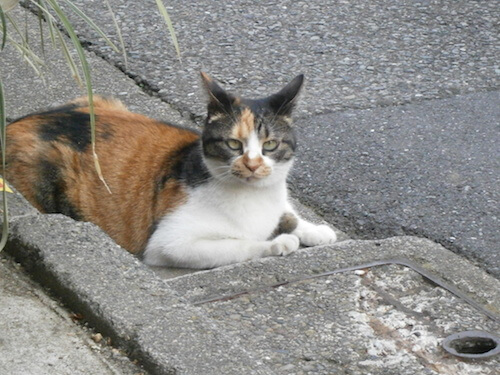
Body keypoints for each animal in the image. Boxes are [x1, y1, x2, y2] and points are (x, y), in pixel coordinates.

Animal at [4, 72, 336, 268]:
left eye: (269, 144)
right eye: (233, 144)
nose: (252, 164)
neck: (254, 198)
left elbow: (289, 215)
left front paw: (316, 230)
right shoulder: (170, 244)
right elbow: (237, 245)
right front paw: (278, 243)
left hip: (100, 100)